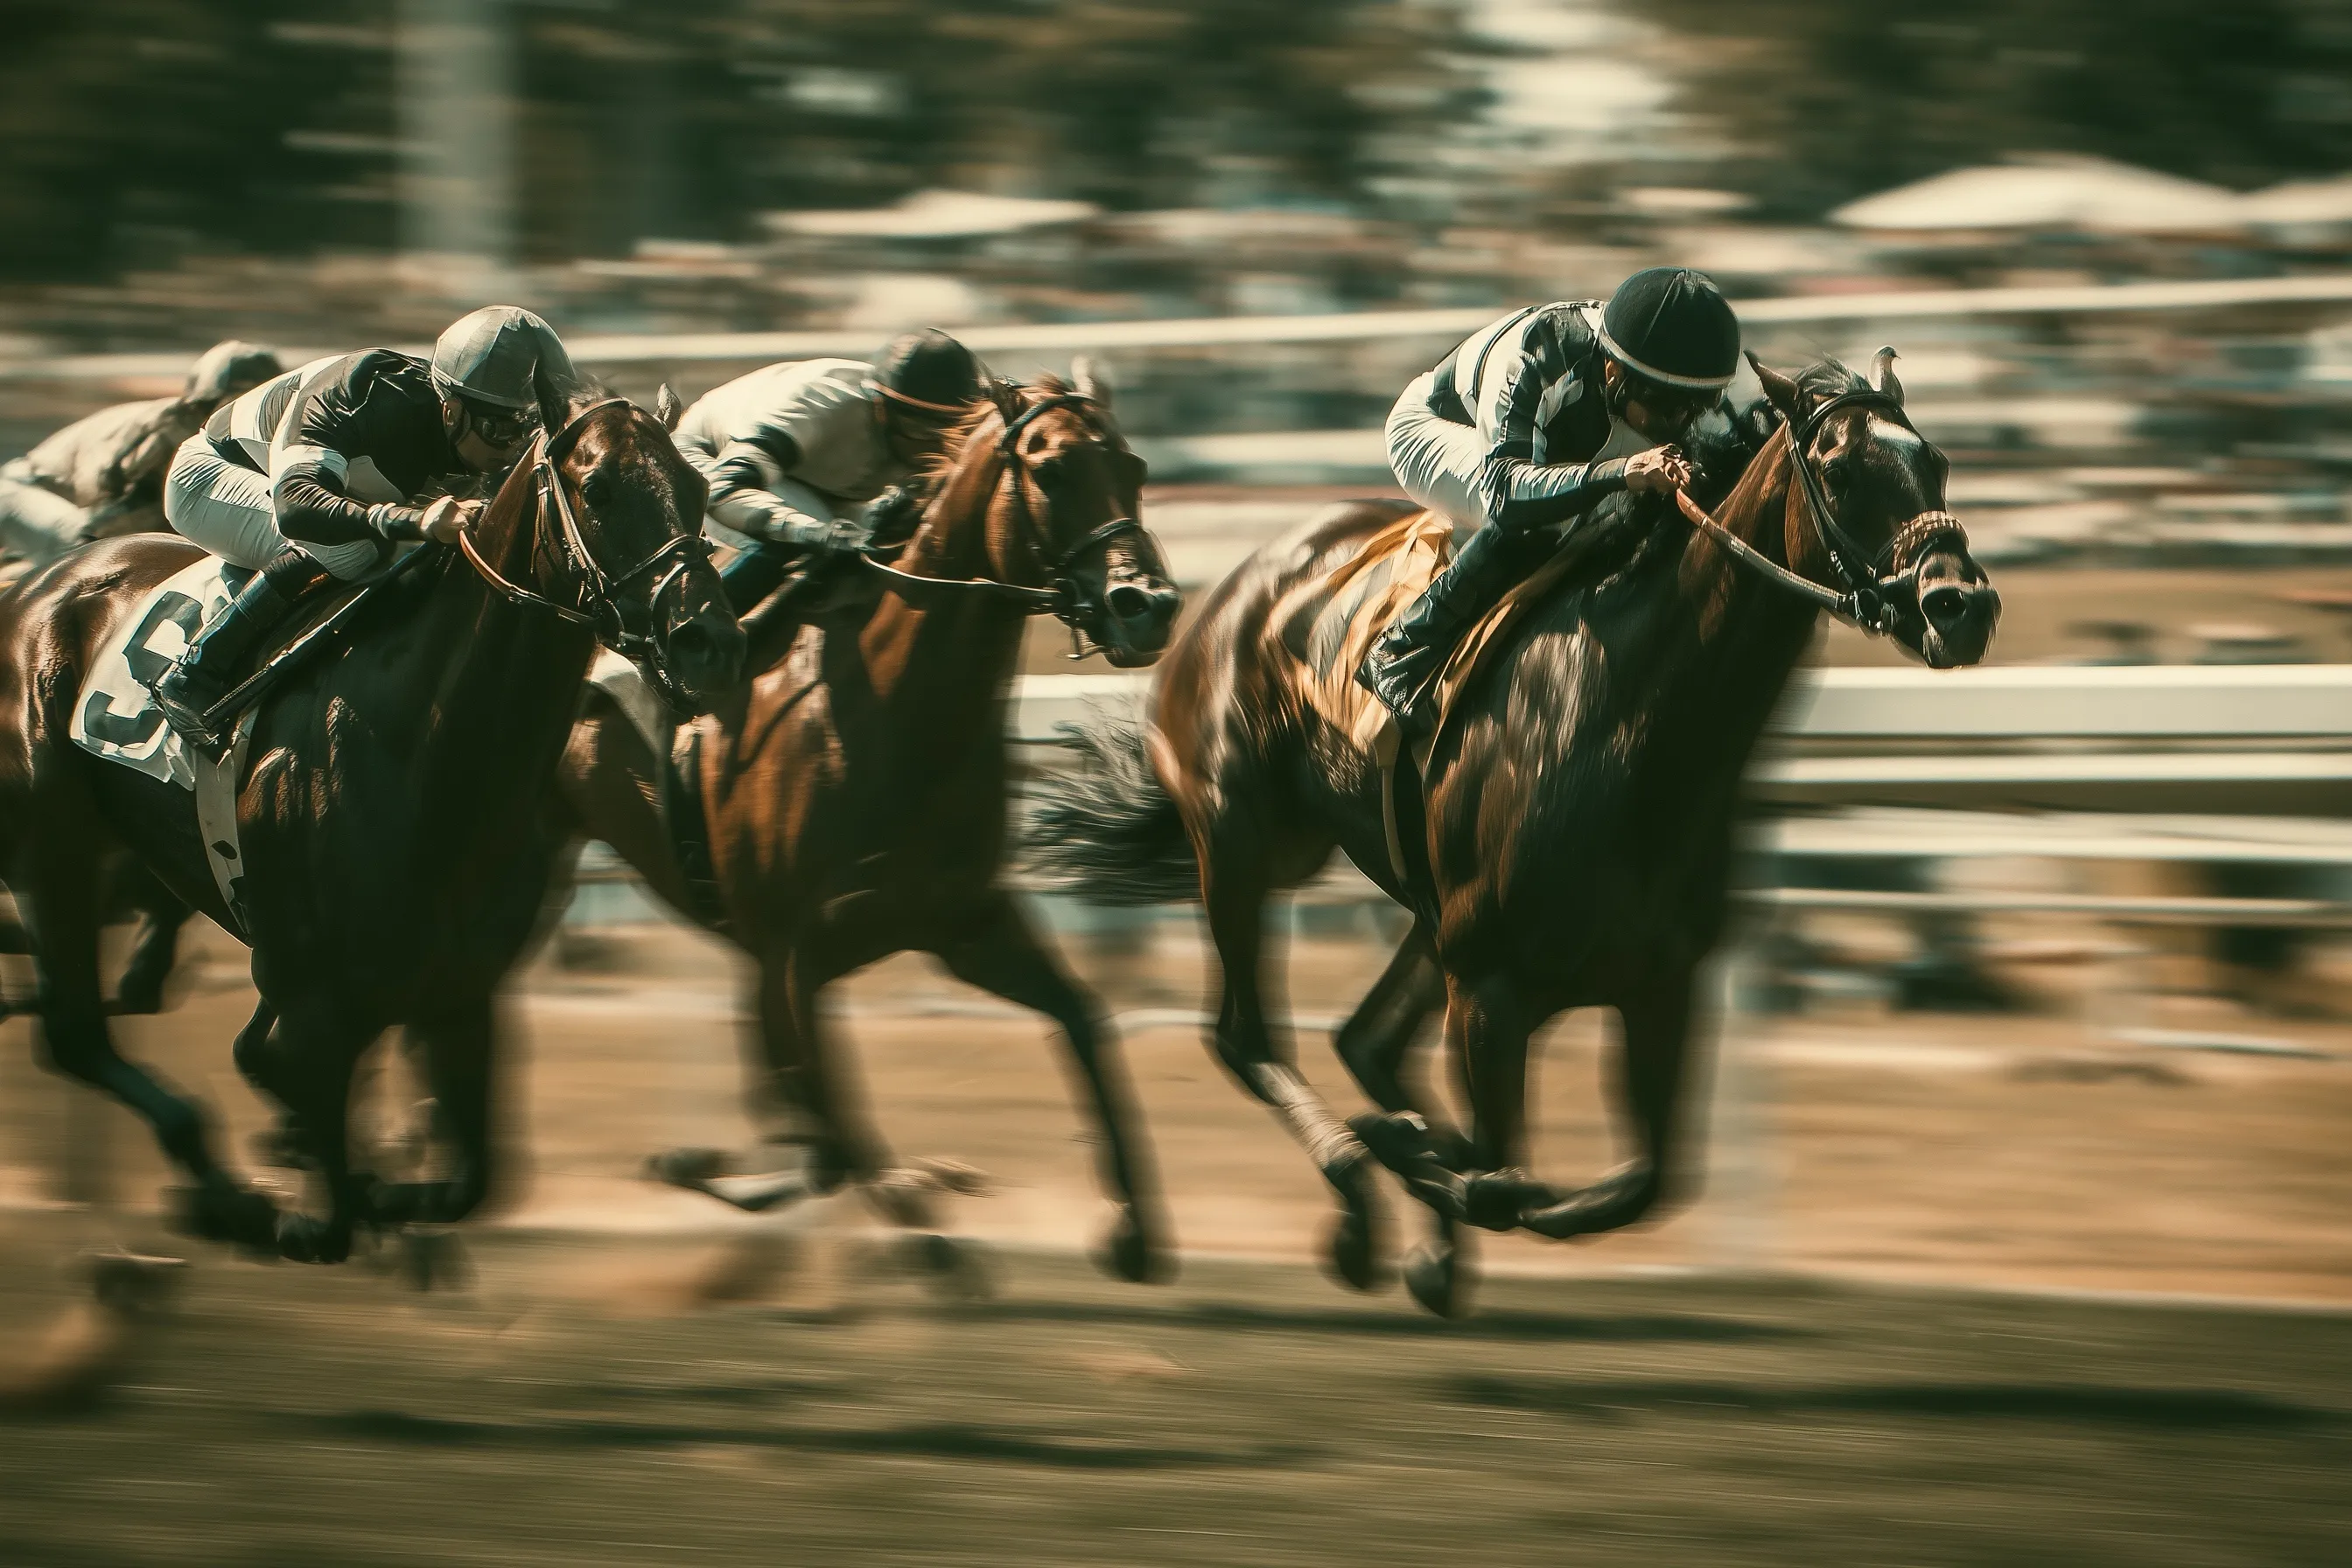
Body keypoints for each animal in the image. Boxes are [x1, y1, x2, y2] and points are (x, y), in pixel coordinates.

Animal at [0, 392, 744, 1263]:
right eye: (597, 490)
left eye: (698, 487)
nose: (711, 646)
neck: (425, 747)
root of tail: (36, 586)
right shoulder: (314, 1004)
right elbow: (324, 1194)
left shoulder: (458, 993)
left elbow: (466, 1183)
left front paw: (392, 1201)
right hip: (55, 851)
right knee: (77, 1033)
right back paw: (227, 1198)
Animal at [550, 369, 1186, 1282]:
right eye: (1053, 469)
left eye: (1133, 468)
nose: (1149, 607)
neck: (889, 712)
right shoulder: (792, 956)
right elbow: (833, 1136)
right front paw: (924, 1233)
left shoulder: (964, 924)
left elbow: (1083, 1022)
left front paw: (1134, 1231)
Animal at [1028, 350, 2001, 1315]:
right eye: (1838, 469)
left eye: (1936, 461)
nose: (1960, 605)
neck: (1629, 734)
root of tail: (1222, 591)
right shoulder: (1491, 988)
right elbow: (1503, 1179)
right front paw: (1415, 1159)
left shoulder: (1657, 985)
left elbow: (1640, 1183)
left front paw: (1432, 1184)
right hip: (1243, 845)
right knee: (1246, 1036)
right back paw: (1341, 1210)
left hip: (1424, 917)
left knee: (1366, 1040)